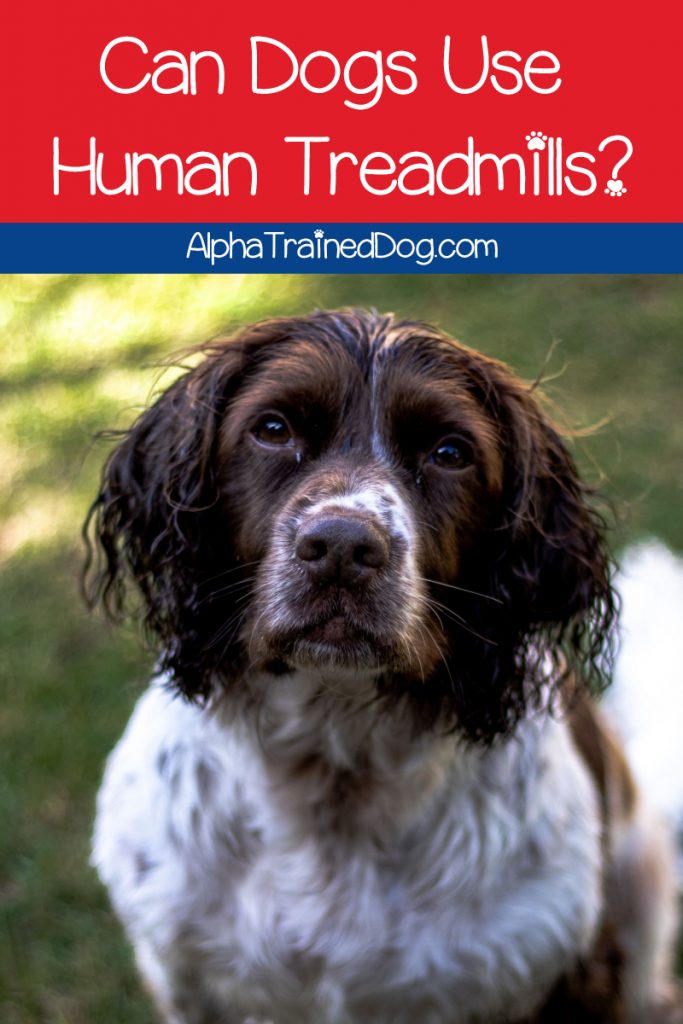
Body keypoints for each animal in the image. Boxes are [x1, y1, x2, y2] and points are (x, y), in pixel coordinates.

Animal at [83, 309, 679, 1024]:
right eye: (272, 429)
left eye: (450, 453)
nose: (342, 548)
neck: (335, 765)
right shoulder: (185, 977)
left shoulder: (565, 971)